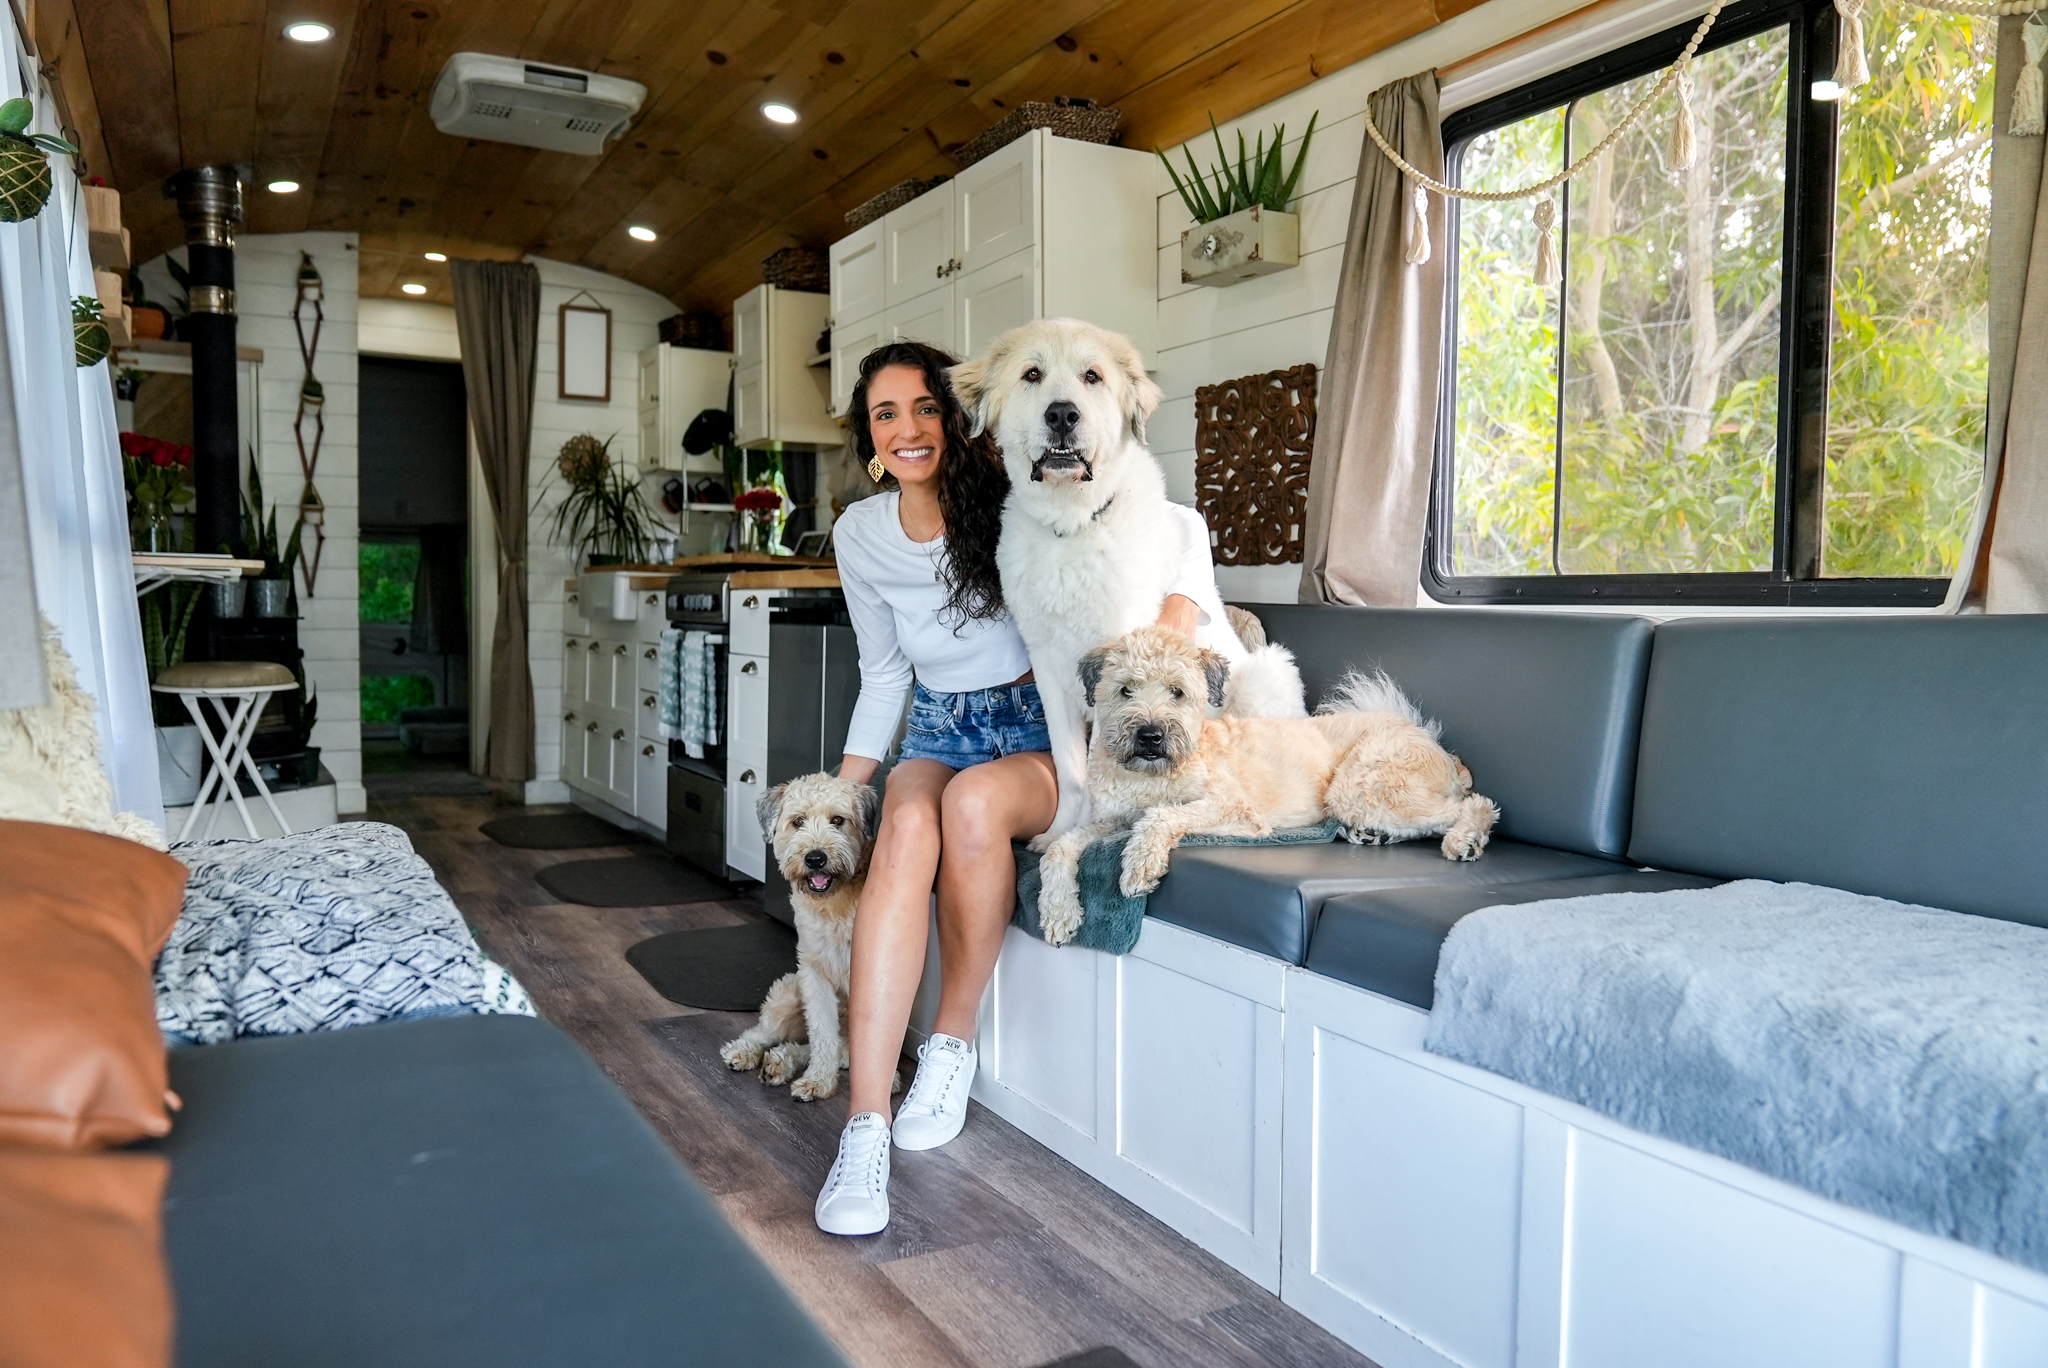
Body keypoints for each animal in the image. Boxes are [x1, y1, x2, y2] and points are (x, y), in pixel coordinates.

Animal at [950, 317, 1302, 835]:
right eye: (1032, 374)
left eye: (1092, 377)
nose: (1062, 415)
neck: (1073, 525)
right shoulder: (1050, 671)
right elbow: (1072, 769)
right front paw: (1061, 831)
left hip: (1263, 677)